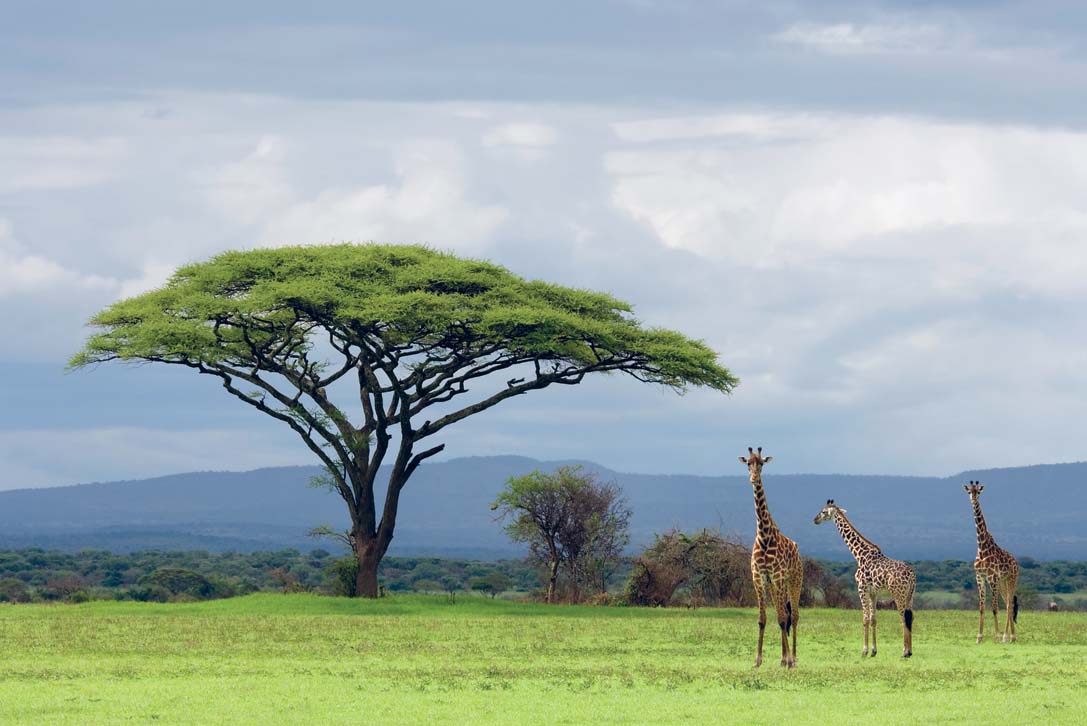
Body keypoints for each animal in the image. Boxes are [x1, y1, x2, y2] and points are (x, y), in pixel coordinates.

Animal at [743, 445, 804, 673]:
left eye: (761, 464)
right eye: (748, 463)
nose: (753, 478)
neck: (764, 535)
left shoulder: (777, 576)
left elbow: (782, 618)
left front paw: (789, 660)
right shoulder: (759, 578)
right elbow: (763, 619)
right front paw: (757, 660)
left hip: (794, 580)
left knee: (793, 616)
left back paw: (793, 658)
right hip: (776, 585)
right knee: (784, 614)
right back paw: (783, 658)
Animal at [813, 499, 913, 656]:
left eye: (823, 512)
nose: (815, 519)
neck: (859, 555)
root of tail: (912, 575)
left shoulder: (861, 588)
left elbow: (865, 618)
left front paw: (864, 650)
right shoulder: (873, 592)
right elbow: (873, 619)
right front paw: (873, 650)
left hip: (899, 594)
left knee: (903, 618)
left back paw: (905, 652)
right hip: (910, 595)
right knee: (910, 618)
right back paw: (909, 651)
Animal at [969, 478, 1017, 643]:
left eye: (978, 491)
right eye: (969, 491)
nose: (973, 500)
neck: (981, 547)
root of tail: (1016, 562)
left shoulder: (992, 578)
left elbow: (995, 608)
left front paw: (996, 636)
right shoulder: (980, 577)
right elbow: (982, 608)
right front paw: (979, 637)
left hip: (1011, 580)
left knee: (1010, 604)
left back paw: (1009, 636)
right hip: (1002, 583)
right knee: (1008, 604)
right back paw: (1007, 636)